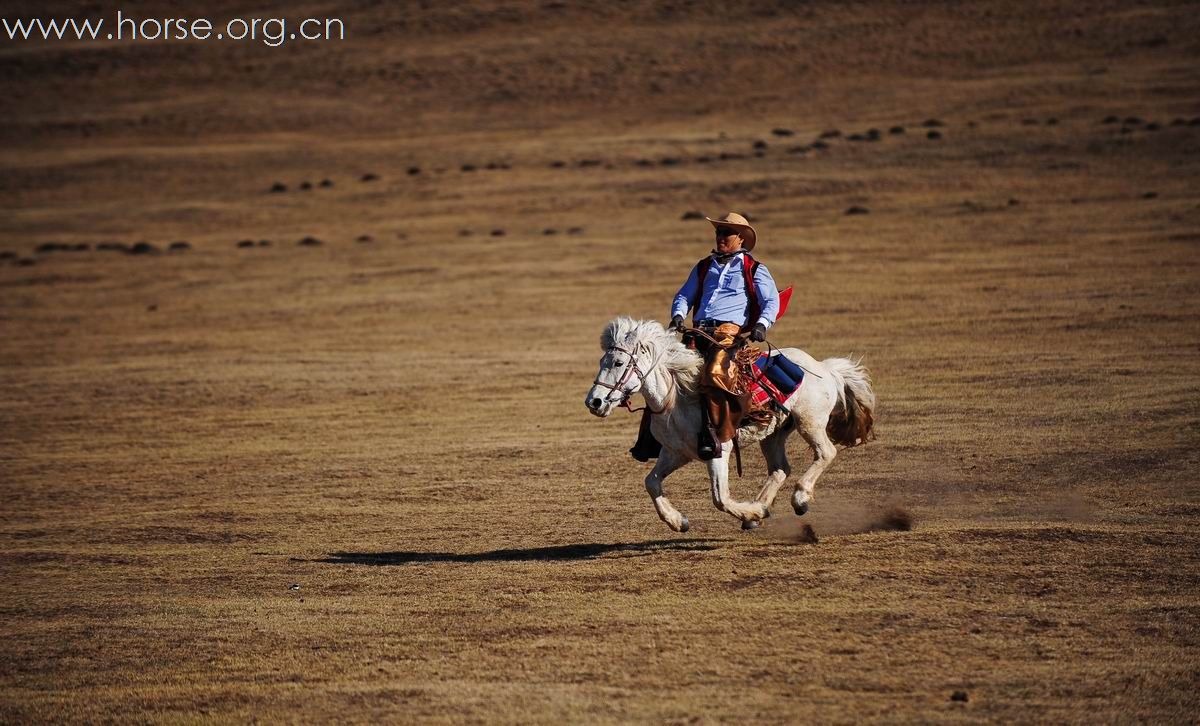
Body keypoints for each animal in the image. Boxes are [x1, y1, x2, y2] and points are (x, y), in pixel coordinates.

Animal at [585, 316, 878, 532]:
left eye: (618, 362)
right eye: (601, 361)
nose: (594, 402)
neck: (677, 399)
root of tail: (825, 369)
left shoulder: (719, 451)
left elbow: (720, 498)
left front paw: (753, 511)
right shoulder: (675, 453)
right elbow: (651, 482)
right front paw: (678, 522)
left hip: (810, 422)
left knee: (825, 453)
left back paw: (799, 499)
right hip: (773, 435)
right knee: (780, 469)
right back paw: (758, 513)